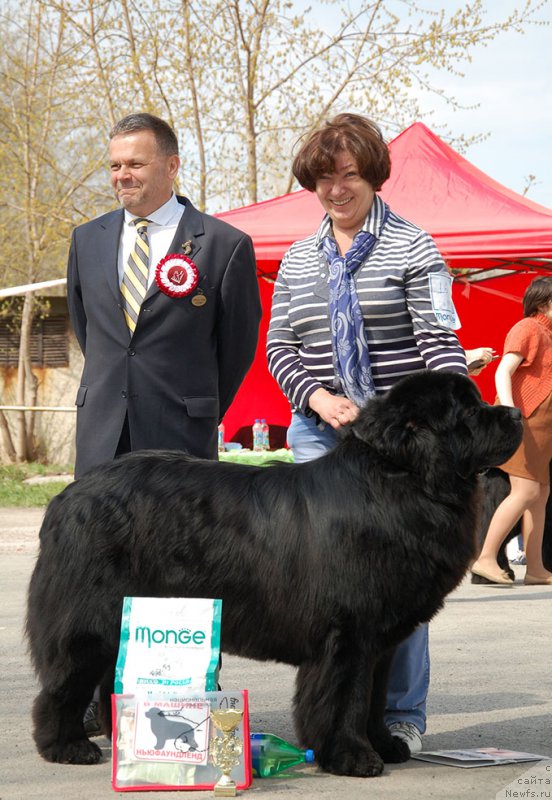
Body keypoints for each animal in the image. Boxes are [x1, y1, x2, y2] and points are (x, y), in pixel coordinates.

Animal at [28, 372, 520, 780]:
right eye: (469, 411)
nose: (515, 413)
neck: (399, 482)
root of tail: (66, 496)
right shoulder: (349, 635)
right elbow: (347, 698)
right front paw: (351, 757)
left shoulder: (380, 641)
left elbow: (375, 698)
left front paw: (383, 744)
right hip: (90, 619)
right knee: (64, 682)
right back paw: (67, 747)